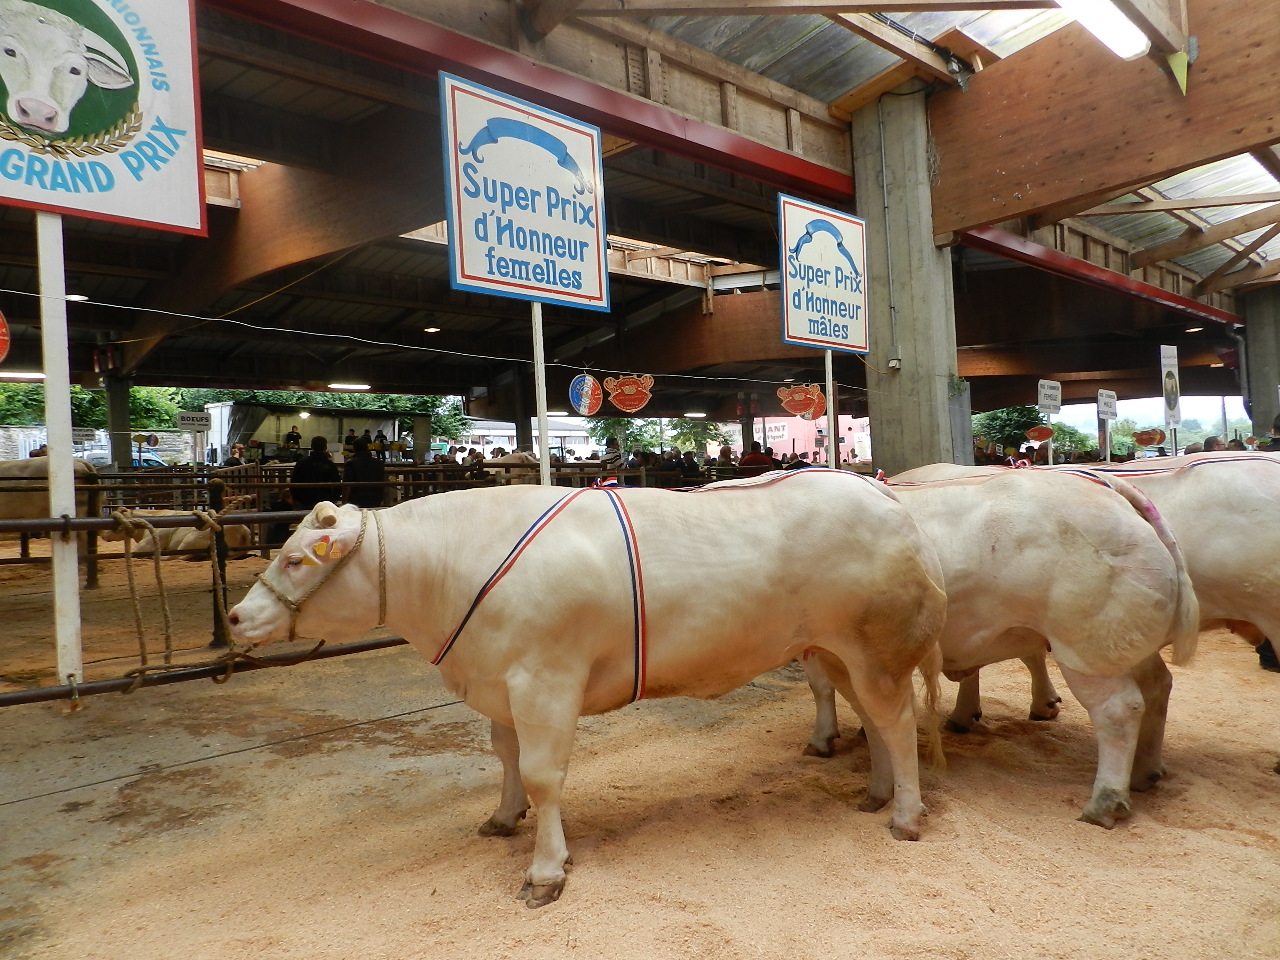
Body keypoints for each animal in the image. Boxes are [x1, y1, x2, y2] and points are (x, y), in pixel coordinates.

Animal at [227, 473, 952, 911]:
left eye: (296, 559)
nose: (234, 617)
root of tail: (880, 491)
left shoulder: (545, 681)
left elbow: (544, 775)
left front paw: (546, 870)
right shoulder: (500, 682)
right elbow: (508, 758)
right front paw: (502, 817)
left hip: (876, 649)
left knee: (896, 720)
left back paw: (906, 815)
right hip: (838, 650)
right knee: (875, 720)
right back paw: (877, 793)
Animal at [803, 471, 1192, 829]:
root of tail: (1110, 488)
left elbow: (821, 687)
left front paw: (822, 739)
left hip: (1085, 649)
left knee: (1119, 710)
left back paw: (1105, 802)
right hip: (1127, 644)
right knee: (1158, 687)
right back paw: (1145, 772)